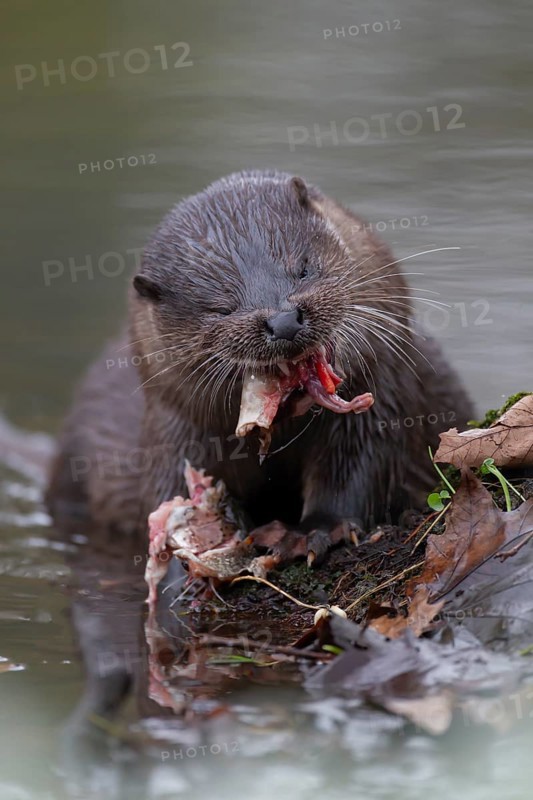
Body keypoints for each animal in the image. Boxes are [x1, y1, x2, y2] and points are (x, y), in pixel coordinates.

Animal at [47, 170, 473, 557]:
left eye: (303, 267)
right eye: (221, 308)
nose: (284, 320)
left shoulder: (381, 404)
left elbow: (354, 474)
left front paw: (318, 529)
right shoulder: (173, 436)